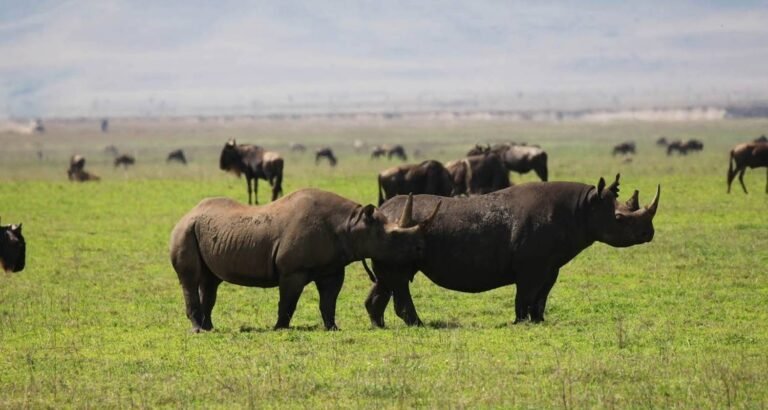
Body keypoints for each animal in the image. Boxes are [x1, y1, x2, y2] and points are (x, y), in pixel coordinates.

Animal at [169, 189, 440, 332]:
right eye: (394, 236)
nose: (420, 248)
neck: (351, 224)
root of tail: (186, 214)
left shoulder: (333, 268)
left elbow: (329, 300)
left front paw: (332, 328)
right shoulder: (292, 270)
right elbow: (288, 301)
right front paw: (280, 328)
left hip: (200, 230)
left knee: (210, 281)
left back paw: (209, 328)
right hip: (184, 231)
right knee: (191, 279)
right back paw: (198, 330)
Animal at [363, 174, 659, 327]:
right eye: (620, 219)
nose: (648, 234)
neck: (584, 207)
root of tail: (382, 212)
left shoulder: (550, 265)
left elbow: (541, 296)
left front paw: (538, 322)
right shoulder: (531, 265)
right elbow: (525, 294)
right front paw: (520, 323)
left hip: (391, 236)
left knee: (387, 281)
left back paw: (380, 326)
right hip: (399, 232)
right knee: (400, 280)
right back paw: (419, 325)